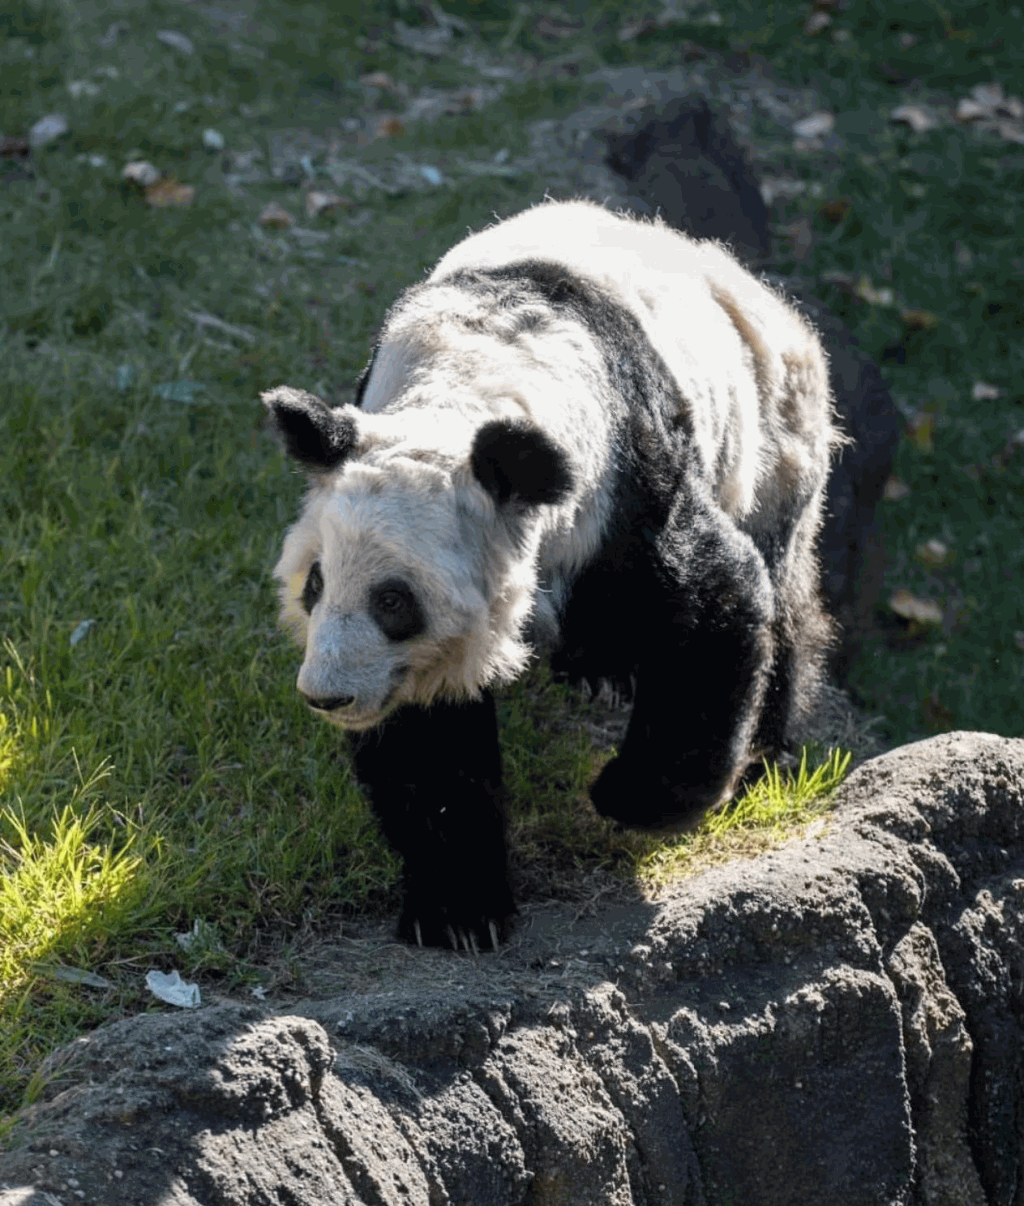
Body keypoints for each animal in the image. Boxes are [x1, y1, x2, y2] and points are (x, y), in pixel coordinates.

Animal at [261, 197, 839, 950]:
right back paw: (599, 668)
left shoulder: (626, 488)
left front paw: (629, 798)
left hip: (776, 441)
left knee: (782, 594)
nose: (326, 696)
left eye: (394, 601)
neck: (472, 385)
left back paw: (763, 756)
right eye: (315, 584)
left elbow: (717, 602)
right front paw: (460, 911)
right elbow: (429, 733)